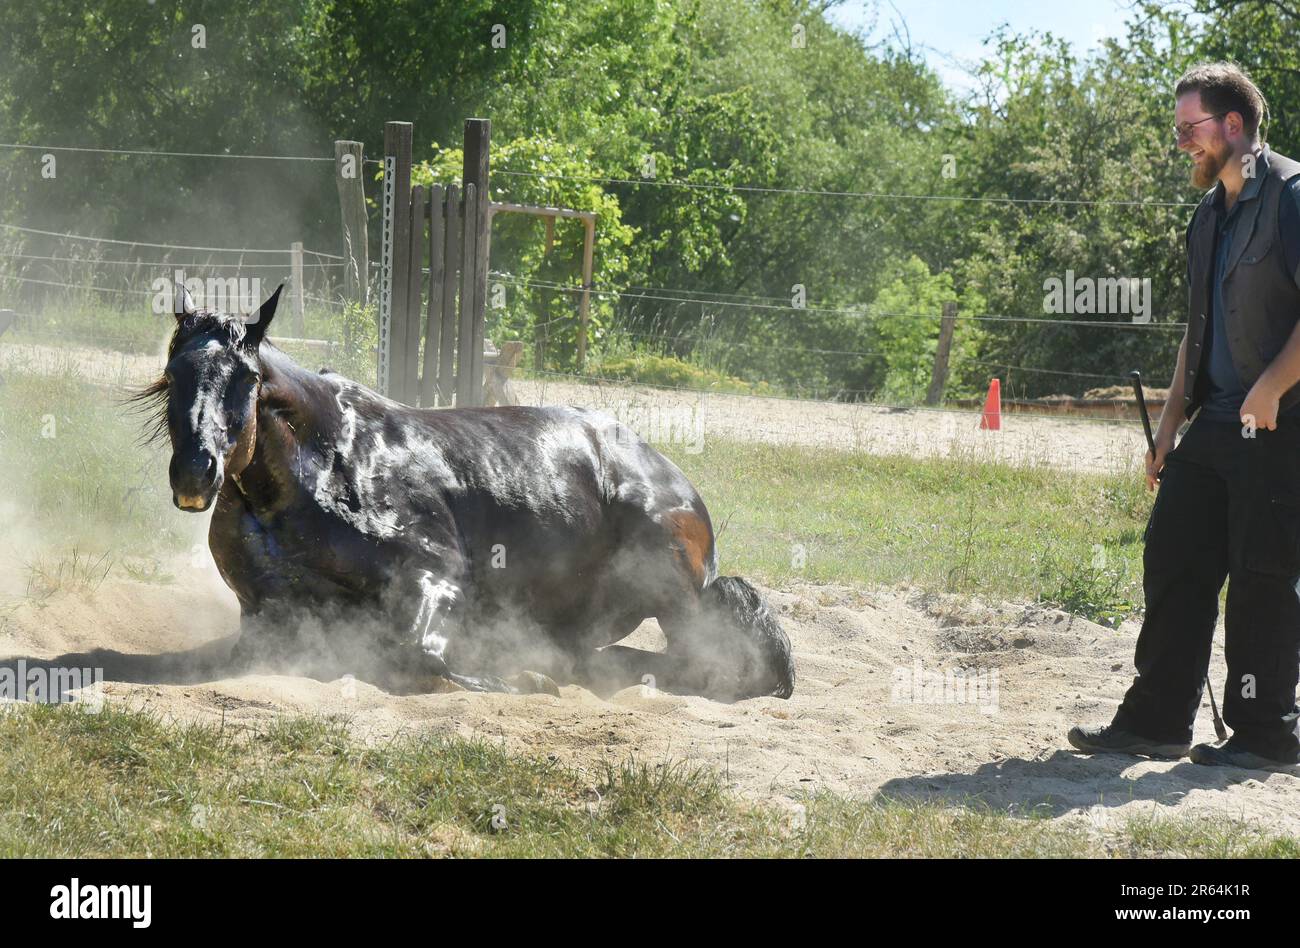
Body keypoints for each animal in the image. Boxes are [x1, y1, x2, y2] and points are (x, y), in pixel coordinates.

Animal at [137, 284, 795, 697]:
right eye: (173, 374)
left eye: (246, 379)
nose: (195, 472)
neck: (322, 468)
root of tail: (676, 483)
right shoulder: (265, 614)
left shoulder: (435, 574)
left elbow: (418, 653)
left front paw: (519, 681)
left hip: (668, 587)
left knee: (701, 661)